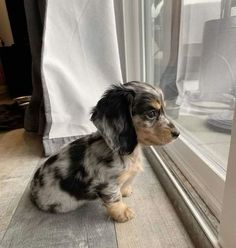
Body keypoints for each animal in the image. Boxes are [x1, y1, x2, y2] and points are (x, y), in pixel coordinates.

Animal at [30, 81, 180, 223]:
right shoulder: (107, 183)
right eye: (151, 113)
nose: (177, 133)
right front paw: (123, 213)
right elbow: (115, 198)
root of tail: (32, 191)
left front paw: (125, 190)